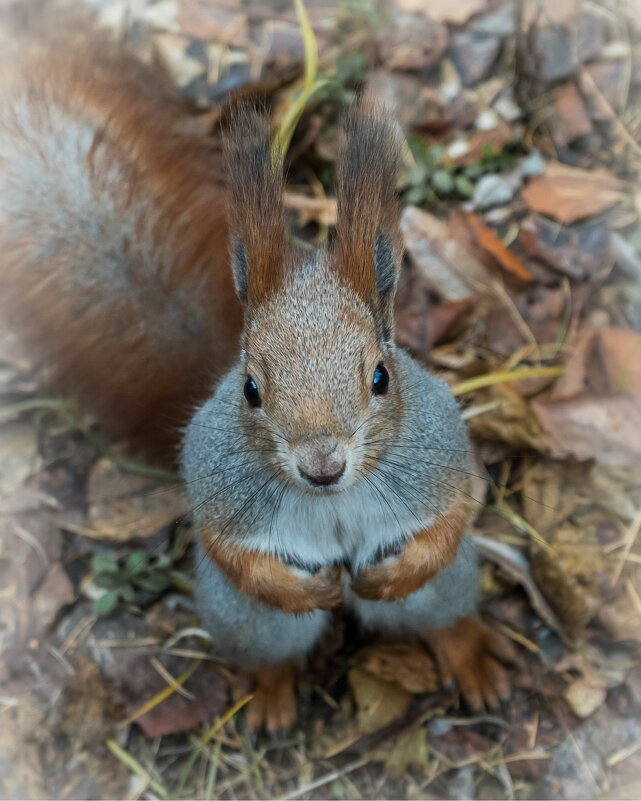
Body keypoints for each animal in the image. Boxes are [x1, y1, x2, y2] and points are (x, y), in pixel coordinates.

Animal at [0, 7, 516, 732]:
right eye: (250, 389)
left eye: (381, 377)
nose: (322, 466)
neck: (329, 498)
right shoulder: (217, 479)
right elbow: (229, 549)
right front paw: (306, 589)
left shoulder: (438, 450)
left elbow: (451, 517)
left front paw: (394, 572)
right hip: (246, 619)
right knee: (271, 642)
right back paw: (273, 693)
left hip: (445, 588)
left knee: (437, 613)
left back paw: (466, 654)